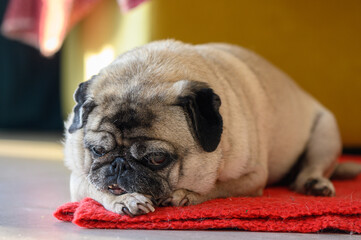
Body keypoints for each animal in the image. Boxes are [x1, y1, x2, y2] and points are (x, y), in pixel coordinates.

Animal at [63, 39, 358, 216]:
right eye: (98, 151)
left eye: (157, 158)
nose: (118, 165)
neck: (150, 70)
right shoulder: (79, 178)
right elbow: (95, 189)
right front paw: (124, 200)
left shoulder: (253, 177)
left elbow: (216, 188)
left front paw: (185, 195)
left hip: (325, 134)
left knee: (312, 168)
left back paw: (313, 183)